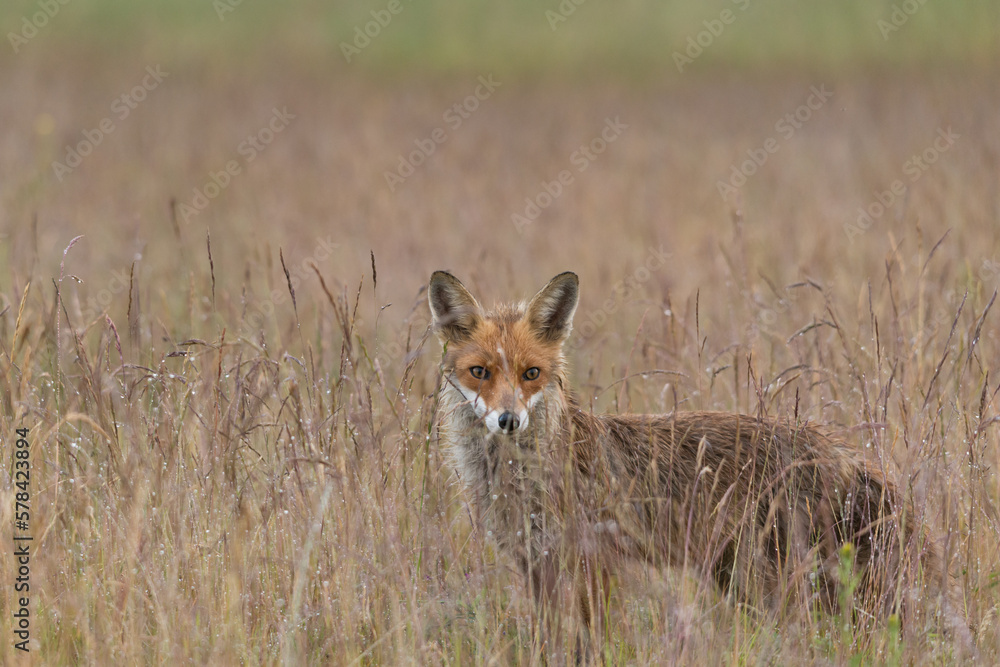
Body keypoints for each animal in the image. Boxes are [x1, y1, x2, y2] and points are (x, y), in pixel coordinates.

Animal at [428, 270, 972, 655]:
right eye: (480, 372)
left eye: (531, 374)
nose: (508, 420)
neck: (516, 479)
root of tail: (842, 451)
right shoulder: (536, 566)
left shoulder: (588, 564)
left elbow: (586, 644)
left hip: (774, 585)